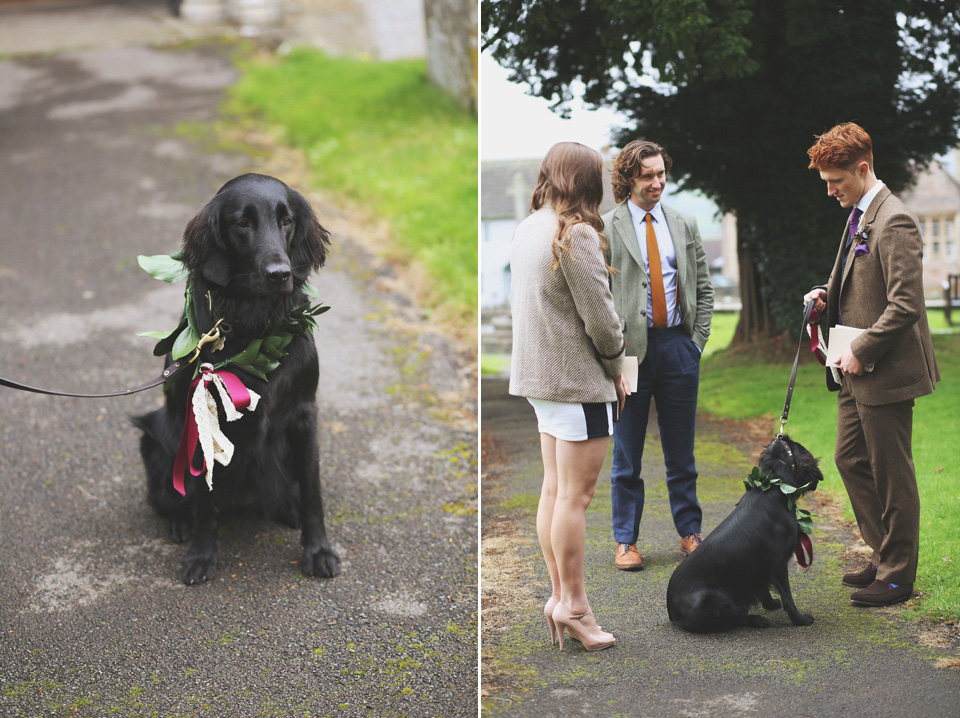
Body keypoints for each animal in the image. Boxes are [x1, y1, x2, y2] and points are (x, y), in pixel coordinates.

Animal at [133, 174, 344, 584]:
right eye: (242, 223)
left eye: (286, 220)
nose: (281, 274)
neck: (254, 327)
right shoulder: (199, 419)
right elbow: (203, 498)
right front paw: (202, 555)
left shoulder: (304, 415)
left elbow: (313, 493)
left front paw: (319, 551)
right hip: (155, 440)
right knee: (172, 499)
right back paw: (181, 523)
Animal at [664, 436, 820, 632]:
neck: (775, 488)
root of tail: (672, 611)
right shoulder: (778, 563)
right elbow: (788, 598)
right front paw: (800, 619)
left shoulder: (759, 567)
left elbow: (763, 588)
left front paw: (770, 604)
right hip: (715, 600)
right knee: (736, 617)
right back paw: (757, 620)